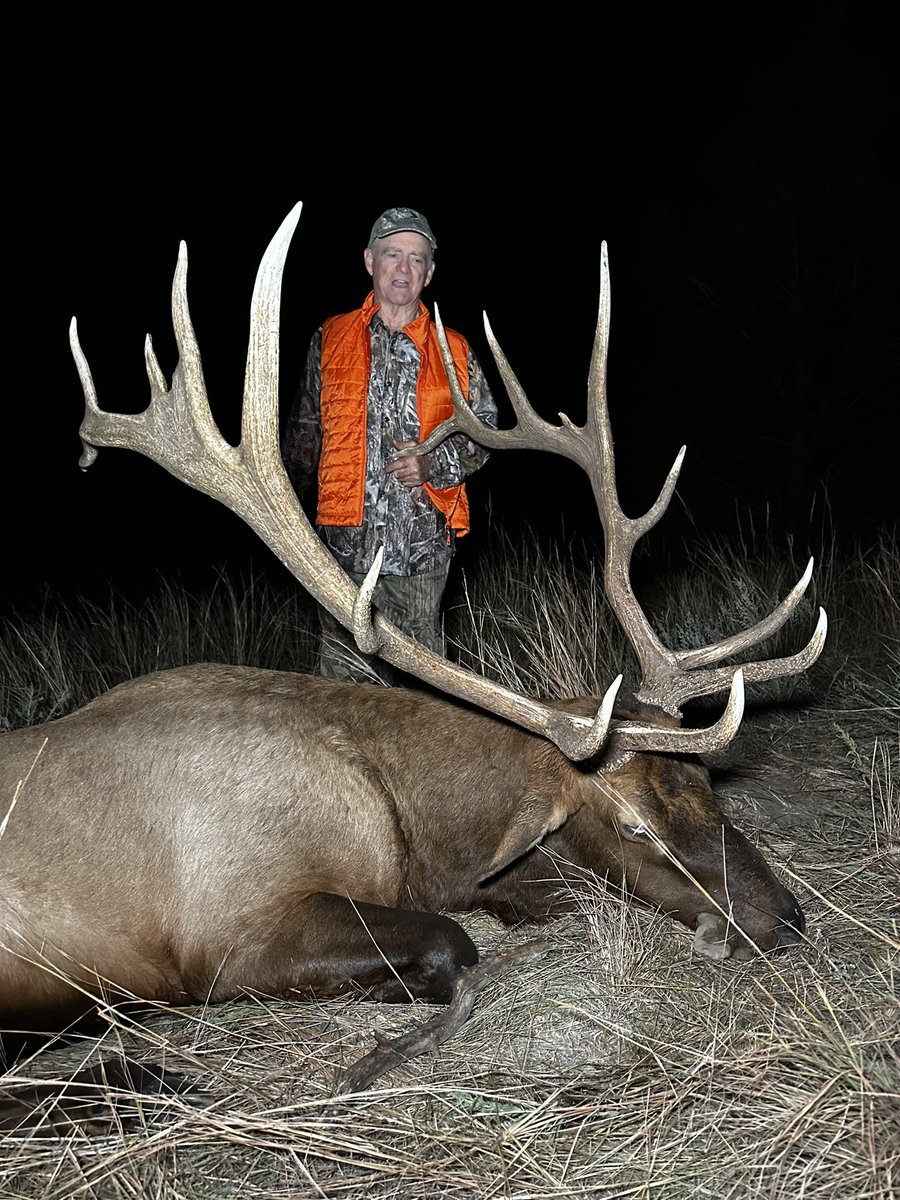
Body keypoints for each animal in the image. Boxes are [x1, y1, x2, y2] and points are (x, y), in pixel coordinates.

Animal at [0, 201, 826, 1045]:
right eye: (634, 827)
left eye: (707, 787)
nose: (788, 918)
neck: (409, 826)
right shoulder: (227, 930)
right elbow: (452, 941)